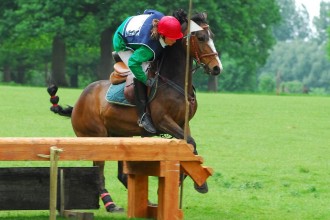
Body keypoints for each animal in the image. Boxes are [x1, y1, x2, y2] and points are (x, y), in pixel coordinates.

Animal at [47, 9, 223, 212]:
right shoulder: (163, 121)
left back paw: (144, 202)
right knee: (98, 171)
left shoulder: (182, 122)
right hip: (96, 136)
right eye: (201, 37)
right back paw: (110, 204)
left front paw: (195, 181)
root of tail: (78, 103)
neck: (174, 82)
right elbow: (190, 144)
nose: (217, 68)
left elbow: (191, 145)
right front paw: (187, 179)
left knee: (121, 174)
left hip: (120, 136)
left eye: (212, 36)